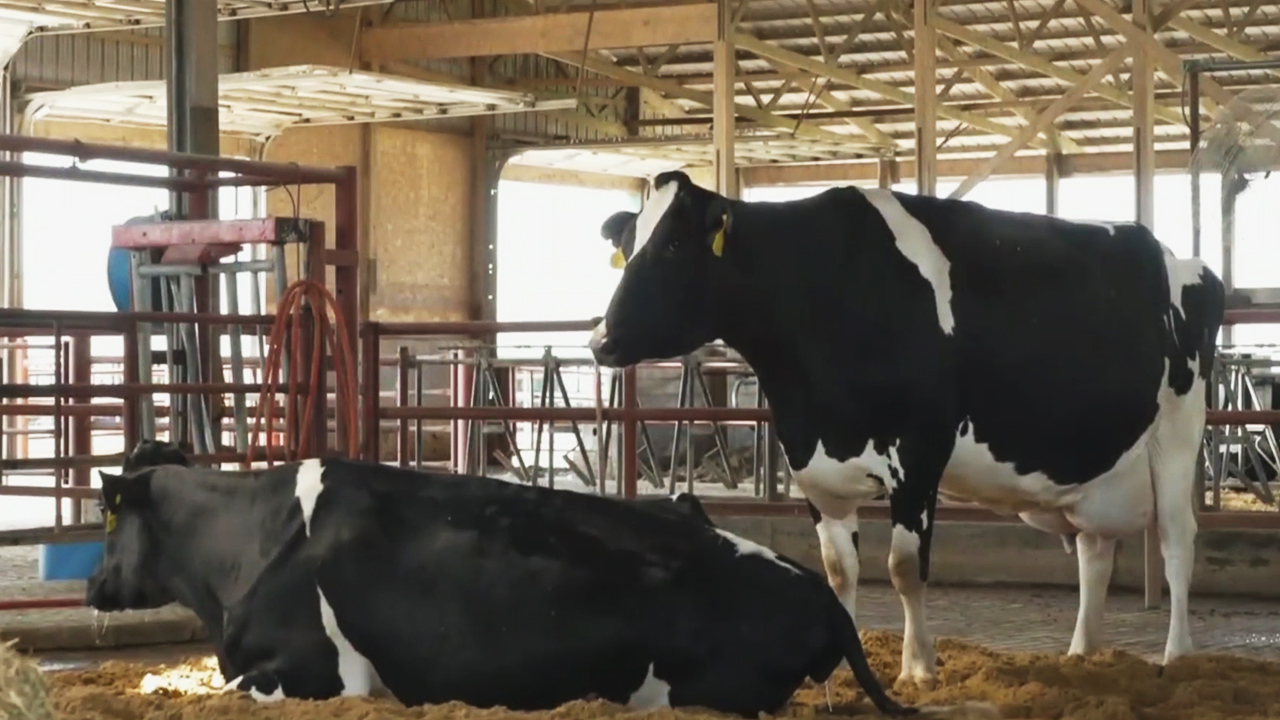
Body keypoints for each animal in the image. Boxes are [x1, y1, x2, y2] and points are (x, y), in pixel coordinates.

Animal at [588, 170, 1226, 690]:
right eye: (627, 245)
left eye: (672, 244)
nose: (601, 340)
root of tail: (1176, 256)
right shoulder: (813, 465)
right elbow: (839, 571)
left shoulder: (919, 452)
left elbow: (902, 568)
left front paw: (918, 668)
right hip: (1092, 465)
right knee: (1094, 551)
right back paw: (1082, 655)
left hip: (1178, 432)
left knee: (1176, 541)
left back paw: (1178, 657)